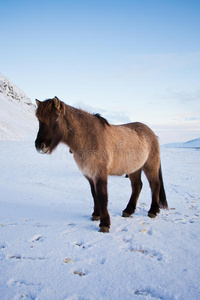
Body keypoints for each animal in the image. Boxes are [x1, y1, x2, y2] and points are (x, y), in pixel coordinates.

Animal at [35, 97, 168, 233]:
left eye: (55, 117)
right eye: (39, 119)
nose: (40, 146)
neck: (89, 138)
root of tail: (152, 133)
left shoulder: (100, 174)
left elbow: (102, 196)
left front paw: (105, 224)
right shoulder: (89, 175)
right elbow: (94, 195)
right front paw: (96, 215)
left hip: (150, 166)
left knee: (155, 185)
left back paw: (153, 211)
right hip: (134, 169)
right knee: (137, 186)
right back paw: (128, 210)